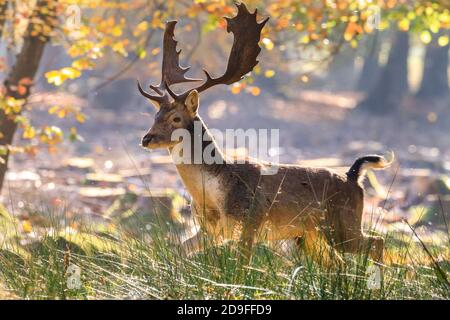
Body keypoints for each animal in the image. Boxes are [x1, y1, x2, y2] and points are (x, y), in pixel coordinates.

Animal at [136, 3, 390, 264]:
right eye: (155, 115)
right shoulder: (209, 230)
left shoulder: (250, 221)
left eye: (176, 118)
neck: (213, 198)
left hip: (342, 224)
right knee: (339, 261)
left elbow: (241, 267)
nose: (147, 139)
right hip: (310, 236)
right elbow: (177, 250)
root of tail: (353, 178)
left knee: (377, 242)